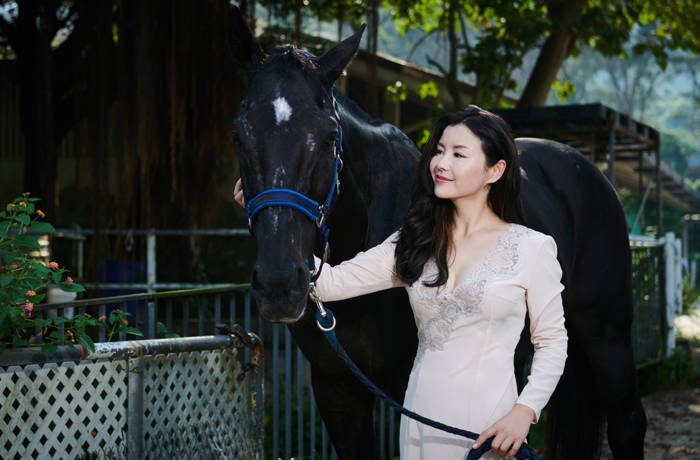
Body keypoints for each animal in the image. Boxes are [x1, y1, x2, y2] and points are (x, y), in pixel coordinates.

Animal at [230, 9, 644, 458]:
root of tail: (587, 171)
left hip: (607, 336)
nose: (279, 285)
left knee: (627, 421)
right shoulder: (337, 391)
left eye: (327, 137)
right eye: (239, 135)